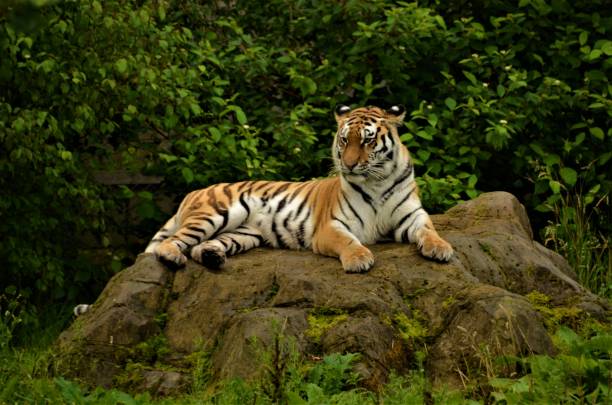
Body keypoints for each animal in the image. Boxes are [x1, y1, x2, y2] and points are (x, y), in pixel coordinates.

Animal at [142, 105, 450, 274]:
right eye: (344, 140)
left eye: (367, 140)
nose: (349, 164)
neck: (378, 180)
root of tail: (194, 192)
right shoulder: (331, 227)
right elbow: (348, 242)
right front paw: (359, 259)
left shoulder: (411, 216)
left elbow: (429, 231)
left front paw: (441, 249)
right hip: (216, 213)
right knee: (174, 242)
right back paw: (173, 256)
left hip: (243, 233)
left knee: (199, 247)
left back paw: (213, 257)